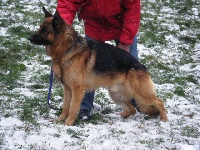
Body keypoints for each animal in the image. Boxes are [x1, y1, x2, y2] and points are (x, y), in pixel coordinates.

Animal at [28, 7, 168, 126]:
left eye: (45, 30)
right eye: (40, 28)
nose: (29, 38)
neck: (67, 49)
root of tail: (141, 66)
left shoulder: (77, 90)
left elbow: (72, 107)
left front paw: (68, 124)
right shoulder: (67, 89)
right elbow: (65, 107)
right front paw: (60, 120)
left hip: (140, 95)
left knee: (158, 101)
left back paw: (164, 119)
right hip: (115, 94)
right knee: (131, 109)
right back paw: (117, 117)